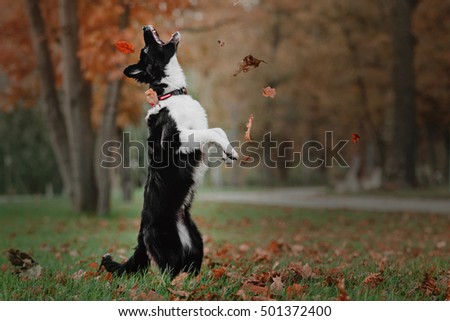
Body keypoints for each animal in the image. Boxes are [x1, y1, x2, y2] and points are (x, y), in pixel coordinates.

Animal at [100, 25, 237, 278]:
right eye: (145, 49)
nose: (145, 27)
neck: (171, 92)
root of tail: (141, 234)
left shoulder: (198, 137)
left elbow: (217, 130)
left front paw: (228, 152)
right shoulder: (177, 140)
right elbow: (211, 132)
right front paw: (229, 152)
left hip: (196, 243)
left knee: (188, 270)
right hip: (168, 249)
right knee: (169, 275)